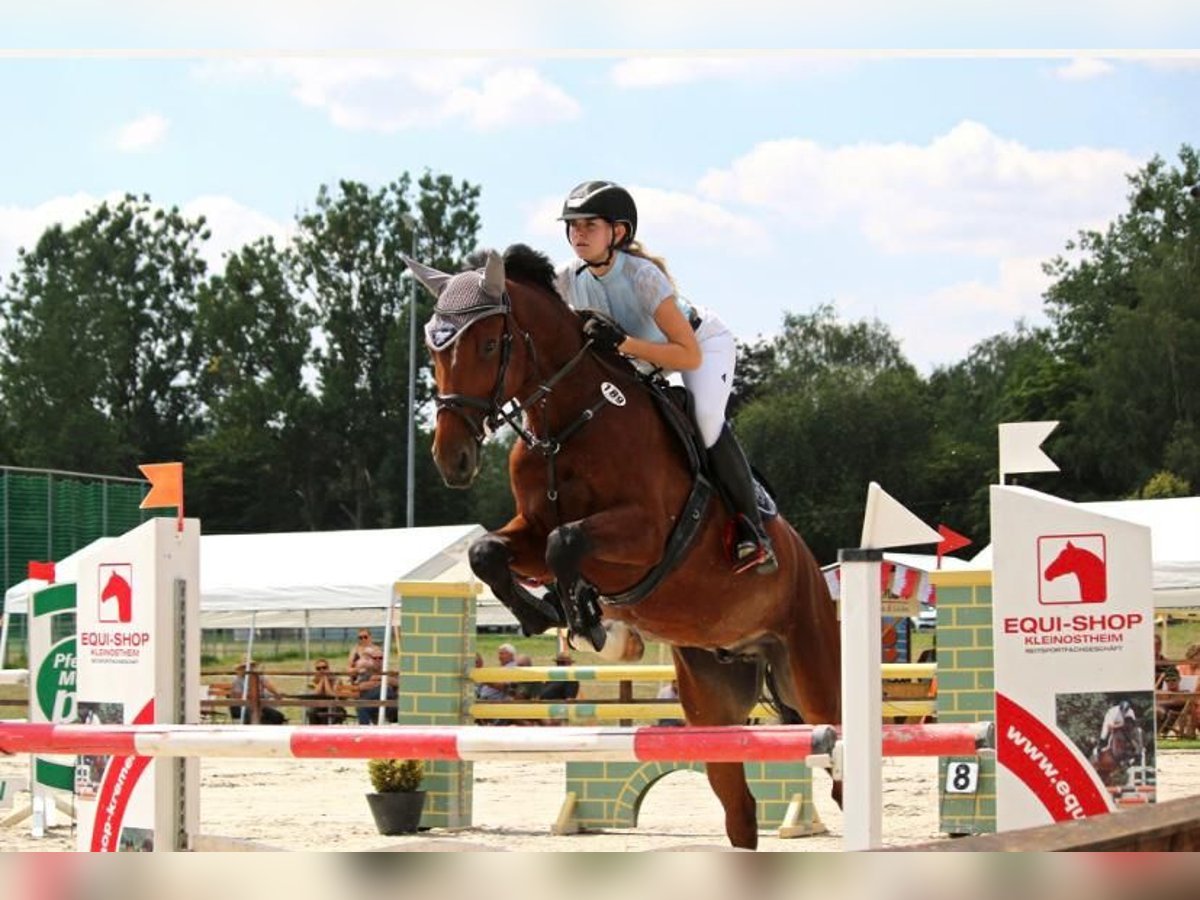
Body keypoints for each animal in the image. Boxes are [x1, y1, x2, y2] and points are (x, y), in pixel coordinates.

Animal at [415, 244, 844, 844]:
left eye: (489, 344)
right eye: (434, 348)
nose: (451, 459)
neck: (565, 425)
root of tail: (813, 570)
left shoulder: (647, 537)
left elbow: (566, 541)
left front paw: (588, 622)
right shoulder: (529, 528)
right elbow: (490, 553)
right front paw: (545, 612)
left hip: (815, 676)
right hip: (714, 699)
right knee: (740, 810)